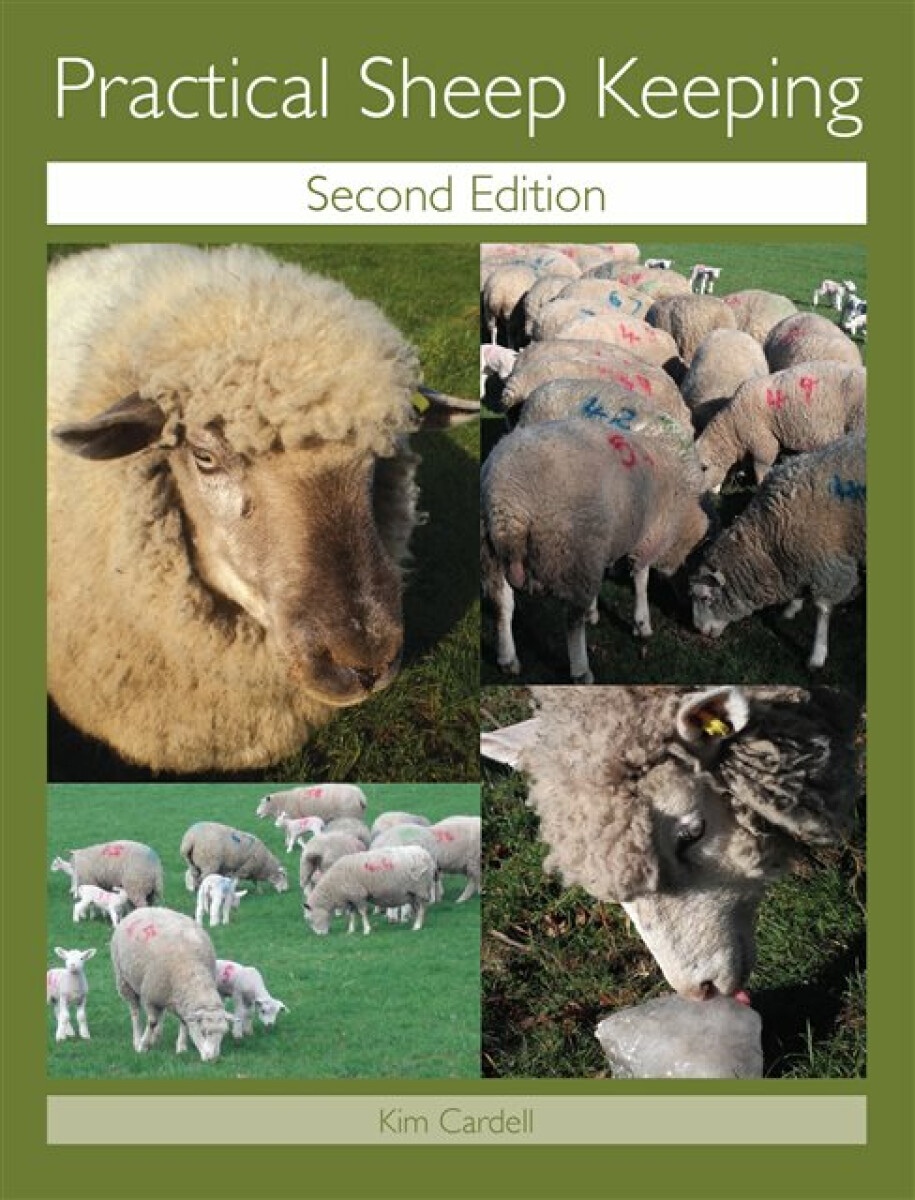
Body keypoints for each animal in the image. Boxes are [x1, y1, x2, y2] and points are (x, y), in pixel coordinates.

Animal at [110, 907, 229, 1060]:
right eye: (203, 1032)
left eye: (223, 1033)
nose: (213, 1059)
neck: (190, 970)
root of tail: (144, 908)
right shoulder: (150, 997)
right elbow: (152, 1022)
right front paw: (143, 1046)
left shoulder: (180, 1000)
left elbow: (183, 1022)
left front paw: (181, 1047)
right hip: (124, 980)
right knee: (135, 1011)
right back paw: (137, 1039)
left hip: (162, 992)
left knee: (159, 1013)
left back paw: (156, 1036)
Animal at [304, 845, 437, 935]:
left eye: (310, 919)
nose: (320, 934)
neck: (333, 886)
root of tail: (426, 854)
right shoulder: (351, 898)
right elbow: (352, 915)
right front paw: (351, 930)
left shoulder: (358, 895)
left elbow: (362, 912)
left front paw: (367, 929)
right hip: (412, 893)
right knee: (417, 907)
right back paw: (415, 923)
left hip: (421, 888)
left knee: (422, 907)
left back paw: (417, 926)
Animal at [481, 419, 708, 682]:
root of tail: (509, 498)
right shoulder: (646, 537)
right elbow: (641, 579)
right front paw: (642, 623)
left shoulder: (602, 543)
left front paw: (594, 610)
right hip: (571, 546)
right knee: (571, 621)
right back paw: (581, 670)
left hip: (493, 551)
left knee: (501, 605)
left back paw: (507, 658)